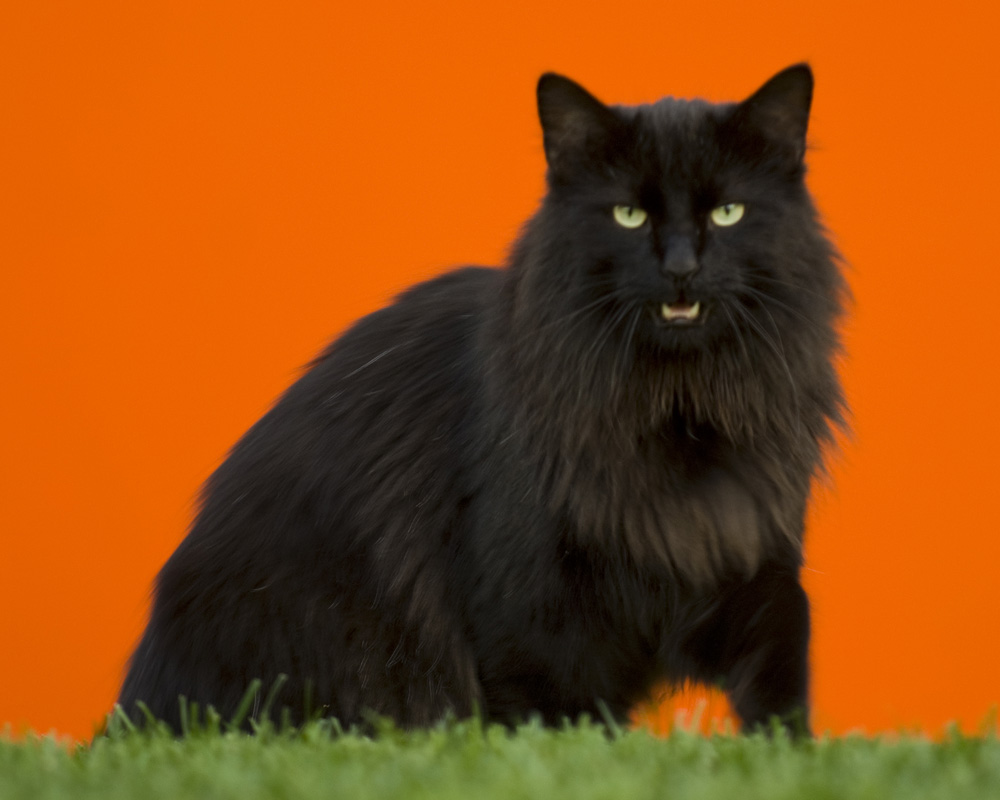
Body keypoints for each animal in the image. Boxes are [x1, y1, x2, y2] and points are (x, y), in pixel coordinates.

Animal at [121, 65, 848, 736]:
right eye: (628, 214)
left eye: (728, 212)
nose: (679, 268)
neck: (676, 411)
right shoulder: (530, 605)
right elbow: (556, 719)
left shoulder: (756, 553)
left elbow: (781, 682)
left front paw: (786, 754)